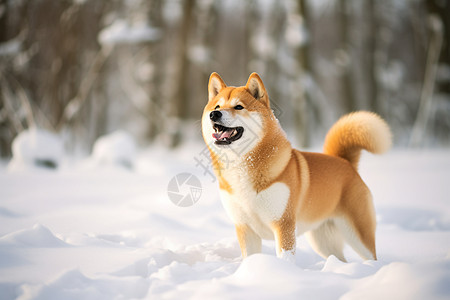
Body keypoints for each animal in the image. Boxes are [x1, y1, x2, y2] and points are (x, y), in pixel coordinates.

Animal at [200, 71, 390, 262]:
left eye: (239, 107)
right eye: (217, 106)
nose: (214, 114)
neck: (242, 165)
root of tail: (345, 162)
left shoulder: (283, 224)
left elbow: (285, 257)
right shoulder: (245, 228)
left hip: (358, 235)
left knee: (371, 256)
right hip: (322, 241)